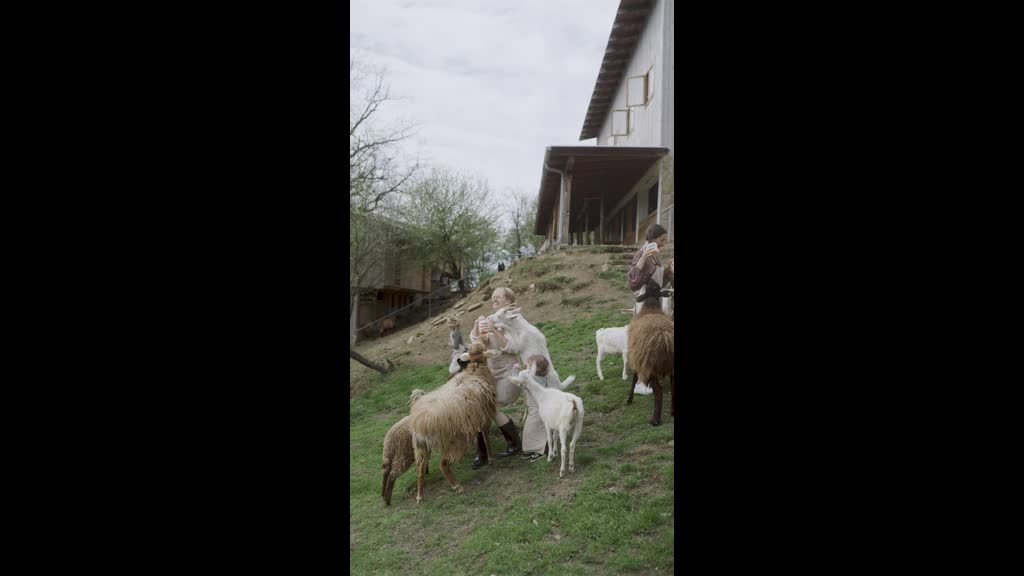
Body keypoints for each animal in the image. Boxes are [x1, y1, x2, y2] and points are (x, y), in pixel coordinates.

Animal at [409, 340, 501, 502]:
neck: (475, 369)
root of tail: (420, 424)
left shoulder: (475, 417)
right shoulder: (485, 415)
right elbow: (485, 436)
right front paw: (490, 458)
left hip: (422, 447)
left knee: (420, 469)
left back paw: (420, 496)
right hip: (450, 441)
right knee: (442, 464)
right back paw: (457, 486)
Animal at [626, 276, 675, 424]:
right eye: (655, 286)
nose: (649, 277)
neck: (651, 308)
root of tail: (666, 338)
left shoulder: (637, 357)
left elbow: (634, 377)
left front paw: (629, 399)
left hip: (651, 365)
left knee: (658, 391)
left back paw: (655, 420)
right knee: (673, 386)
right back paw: (672, 411)